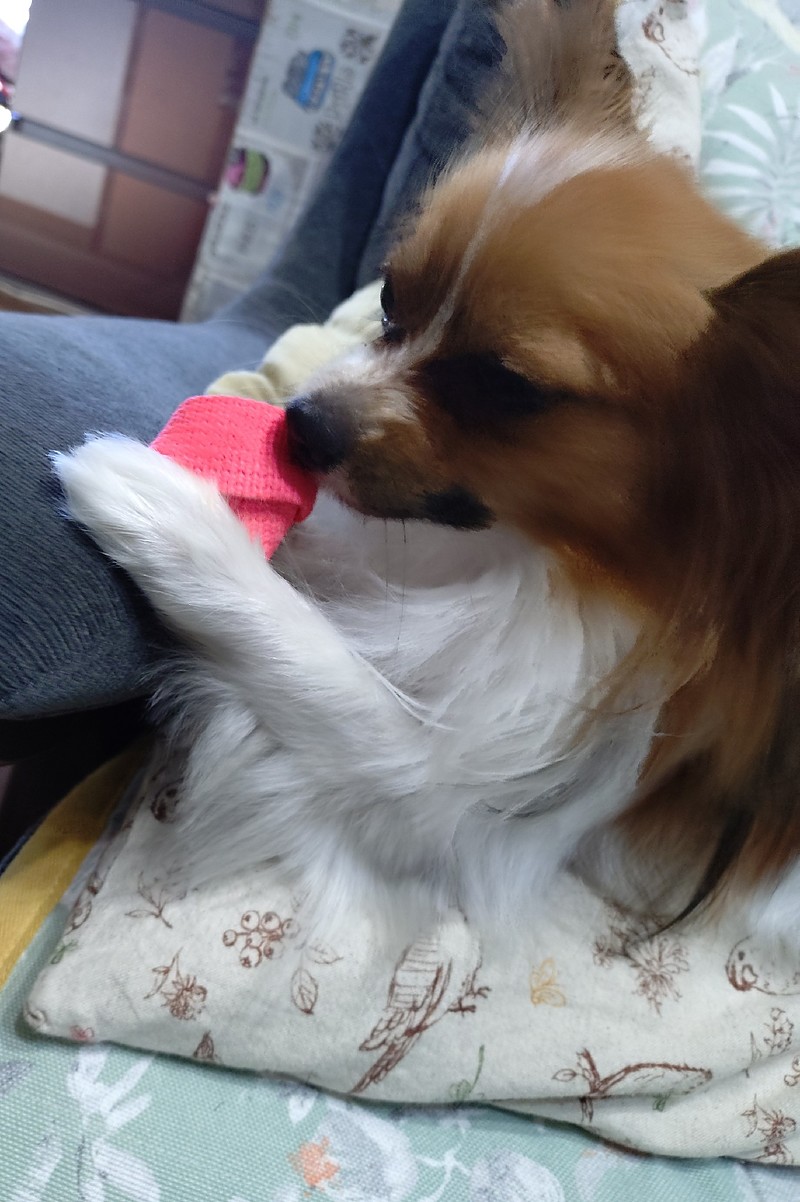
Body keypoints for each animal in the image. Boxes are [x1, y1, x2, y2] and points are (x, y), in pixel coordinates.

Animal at [55, 0, 800, 943]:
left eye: (502, 386)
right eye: (386, 301)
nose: (301, 424)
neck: (532, 560)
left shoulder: (436, 797)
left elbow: (321, 667)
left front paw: (166, 511)